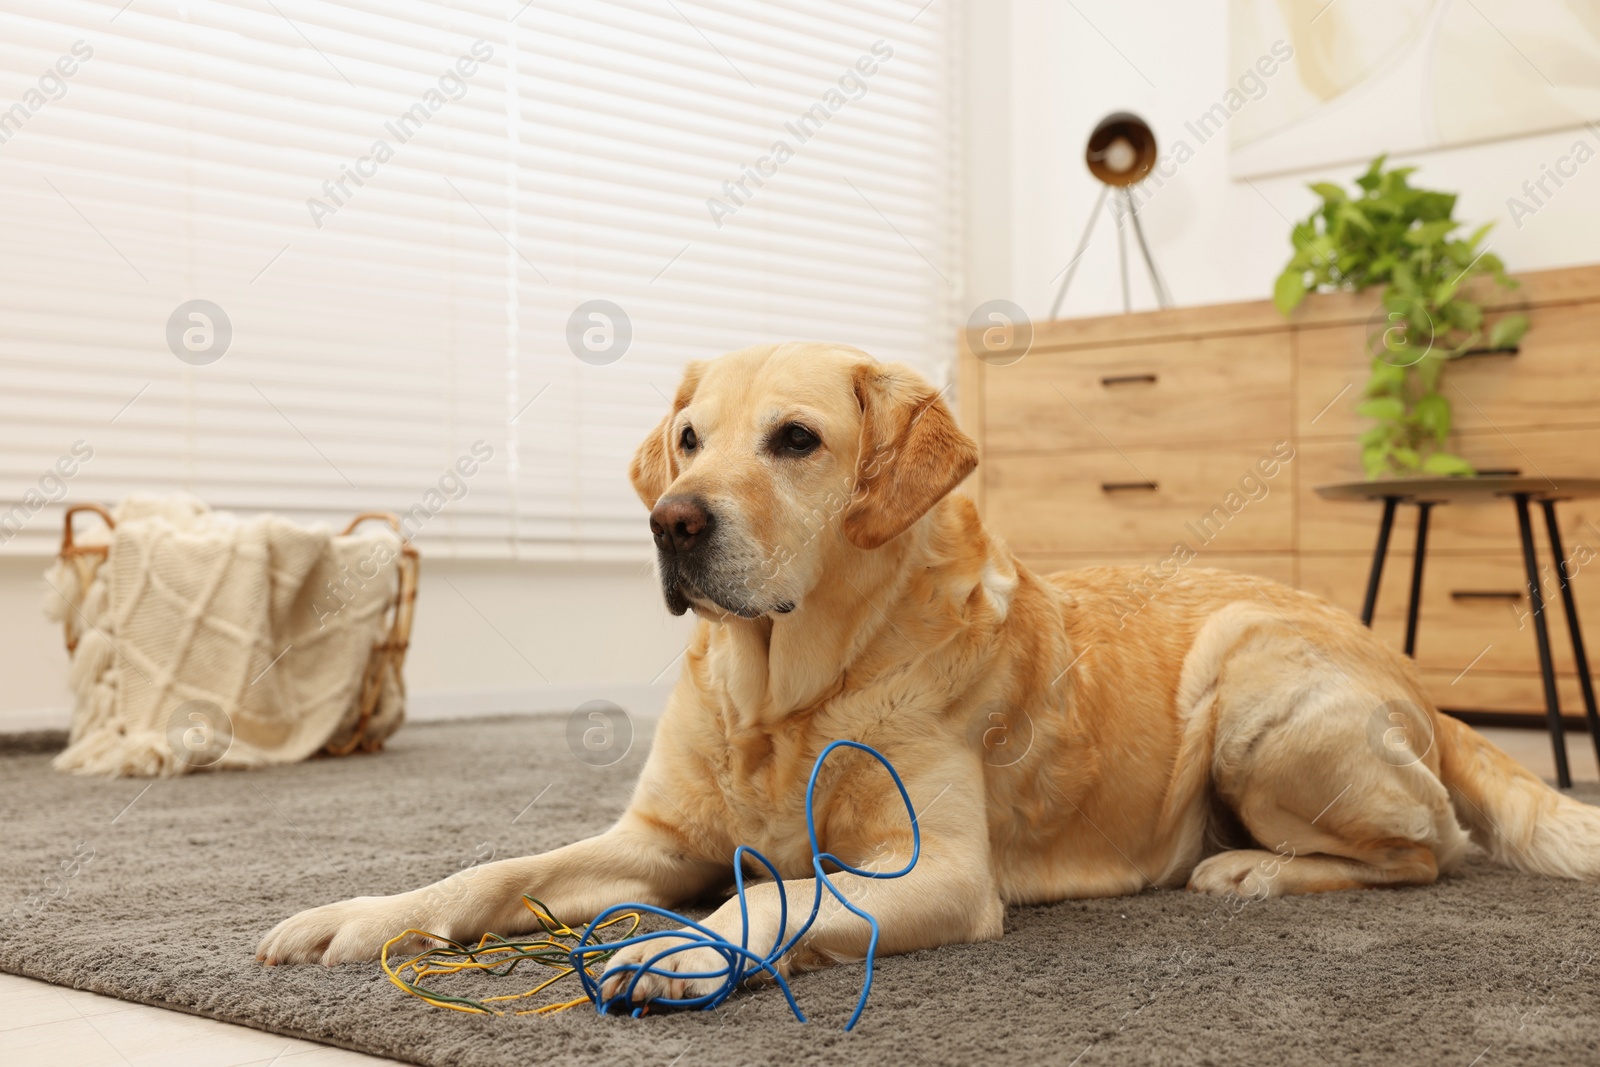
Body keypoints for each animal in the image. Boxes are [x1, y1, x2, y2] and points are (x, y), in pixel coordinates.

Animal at [256, 343, 1600, 1011]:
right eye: (687, 439)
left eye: (795, 440)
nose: (672, 521)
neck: (786, 691)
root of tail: (1408, 668)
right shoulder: (651, 837)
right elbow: (494, 870)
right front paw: (364, 914)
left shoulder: (939, 872)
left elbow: (778, 899)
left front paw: (682, 948)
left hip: (1250, 674)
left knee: (1432, 849)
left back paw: (1252, 868)